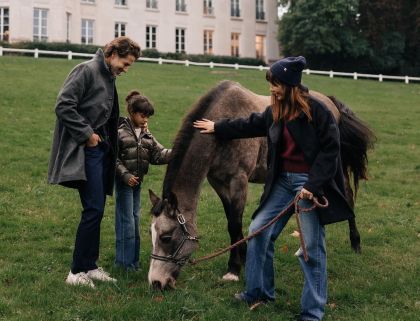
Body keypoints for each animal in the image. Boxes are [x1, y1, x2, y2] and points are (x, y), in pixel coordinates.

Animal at [147, 80, 374, 290]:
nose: (156, 282)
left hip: (334, 168)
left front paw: (233, 269)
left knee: (347, 198)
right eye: (151, 235)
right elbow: (232, 223)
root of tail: (330, 102)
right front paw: (245, 257)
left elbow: (234, 224)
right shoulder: (219, 183)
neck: (220, 133)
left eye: (166, 237)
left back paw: (355, 243)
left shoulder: (238, 181)